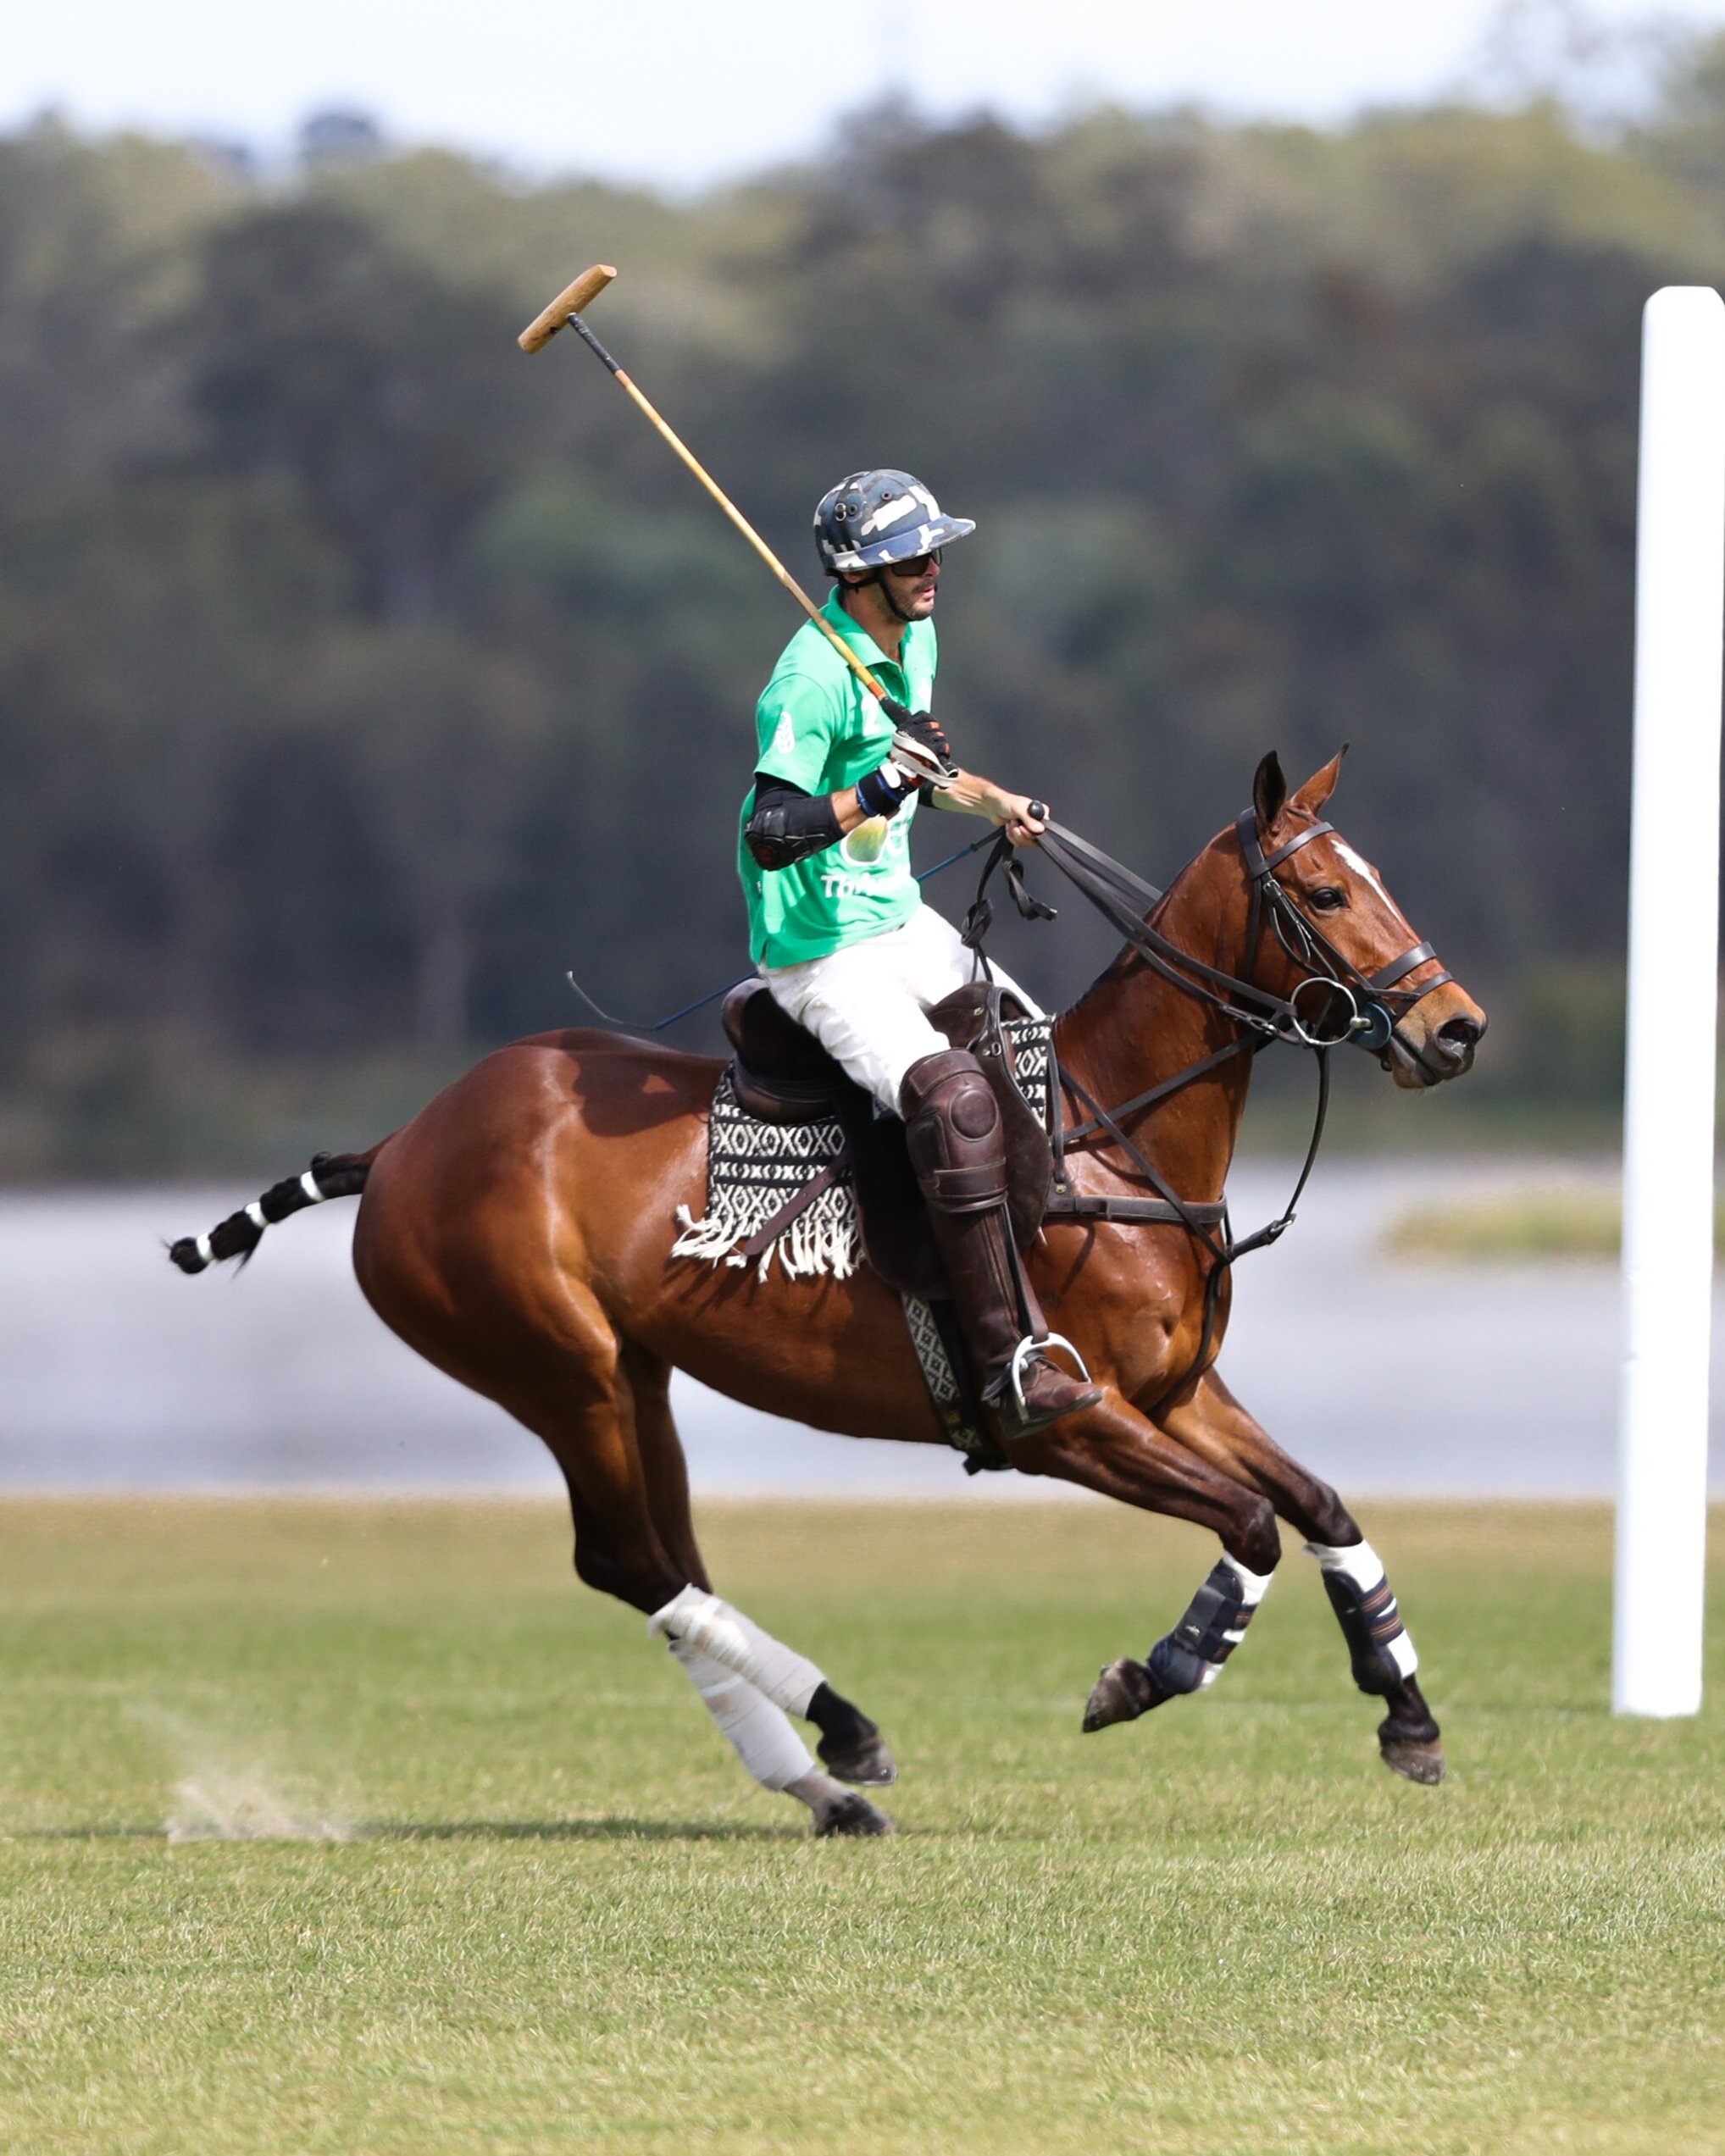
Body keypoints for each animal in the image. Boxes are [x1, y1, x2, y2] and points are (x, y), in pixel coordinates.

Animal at [175, 754, 1483, 1837]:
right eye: (1323, 894)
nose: (1456, 1029)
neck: (1113, 1137)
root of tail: (399, 1144)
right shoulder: (1064, 1422)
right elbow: (1253, 1524)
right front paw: (1146, 1675)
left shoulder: (1176, 1394)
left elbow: (1321, 1507)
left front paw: (1407, 1716)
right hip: (554, 1369)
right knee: (627, 1561)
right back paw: (842, 1729)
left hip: (635, 1374)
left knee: (667, 1559)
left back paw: (819, 1782)